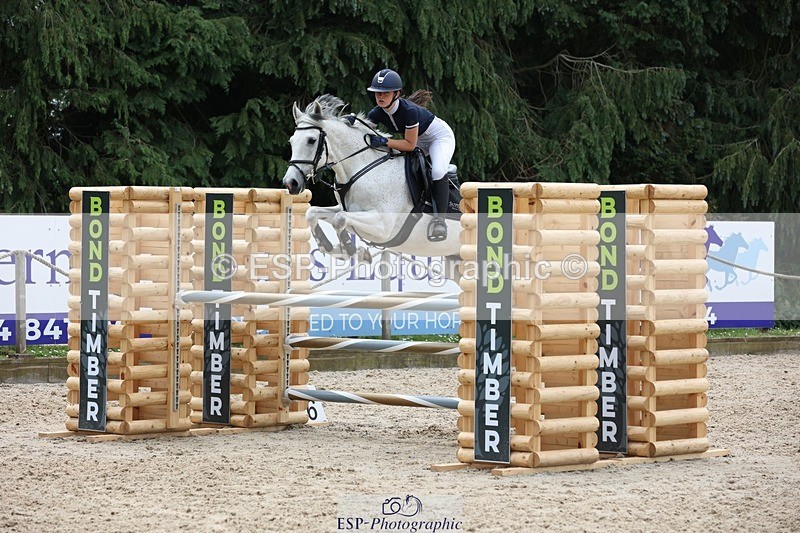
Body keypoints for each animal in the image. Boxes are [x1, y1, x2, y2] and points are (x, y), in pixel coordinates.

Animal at [282, 94, 461, 276]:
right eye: (291, 141)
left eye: (311, 140)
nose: (290, 183)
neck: (361, 168)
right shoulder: (347, 211)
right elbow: (313, 213)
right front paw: (336, 249)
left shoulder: (383, 226)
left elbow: (339, 220)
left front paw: (351, 250)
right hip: (455, 261)